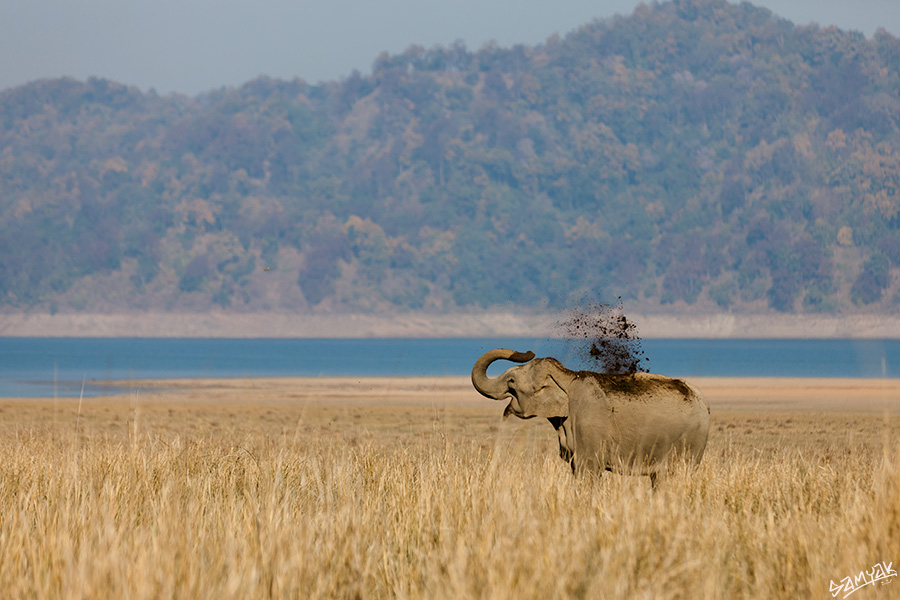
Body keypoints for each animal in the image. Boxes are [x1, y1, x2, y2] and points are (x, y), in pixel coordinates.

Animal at [472, 350, 712, 486]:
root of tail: (704, 403)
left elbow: (588, 471)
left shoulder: (589, 427)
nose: (527, 352)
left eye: (511, 381)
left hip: (691, 441)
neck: (567, 376)